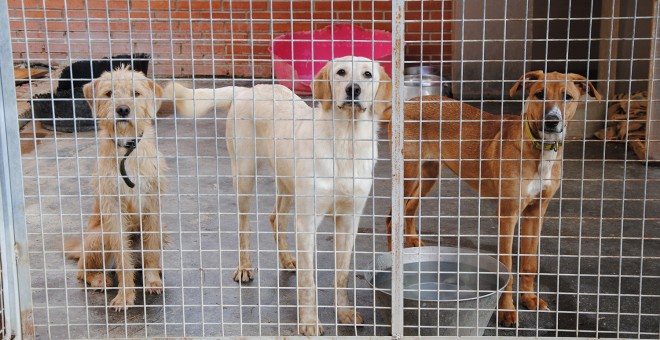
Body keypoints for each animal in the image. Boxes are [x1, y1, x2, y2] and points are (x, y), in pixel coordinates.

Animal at [65, 66, 168, 310]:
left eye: (136, 93)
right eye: (109, 93)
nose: (122, 109)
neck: (127, 150)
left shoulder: (152, 204)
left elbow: (151, 248)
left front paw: (152, 281)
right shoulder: (113, 209)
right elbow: (123, 258)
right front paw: (125, 295)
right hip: (99, 236)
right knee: (81, 272)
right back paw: (99, 279)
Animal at [166, 55, 392, 334]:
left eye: (367, 74)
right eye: (341, 72)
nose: (354, 90)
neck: (346, 142)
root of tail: (248, 90)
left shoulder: (349, 222)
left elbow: (341, 275)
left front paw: (345, 313)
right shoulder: (306, 223)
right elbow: (308, 281)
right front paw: (309, 322)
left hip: (287, 184)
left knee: (275, 217)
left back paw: (285, 259)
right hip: (244, 177)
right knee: (244, 225)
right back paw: (244, 266)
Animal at [384, 70, 600, 326]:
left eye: (567, 97)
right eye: (539, 94)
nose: (551, 121)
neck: (539, 150)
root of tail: (408, 103)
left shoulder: (536, 213)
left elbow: (529, 263)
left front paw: (529, 299)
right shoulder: (507, 215)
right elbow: (506, 267)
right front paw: (506, 310)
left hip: (428, 174)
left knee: (410, 208)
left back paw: (412, 242)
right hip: (407, 175)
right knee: (391, 218)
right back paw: (392, 261)